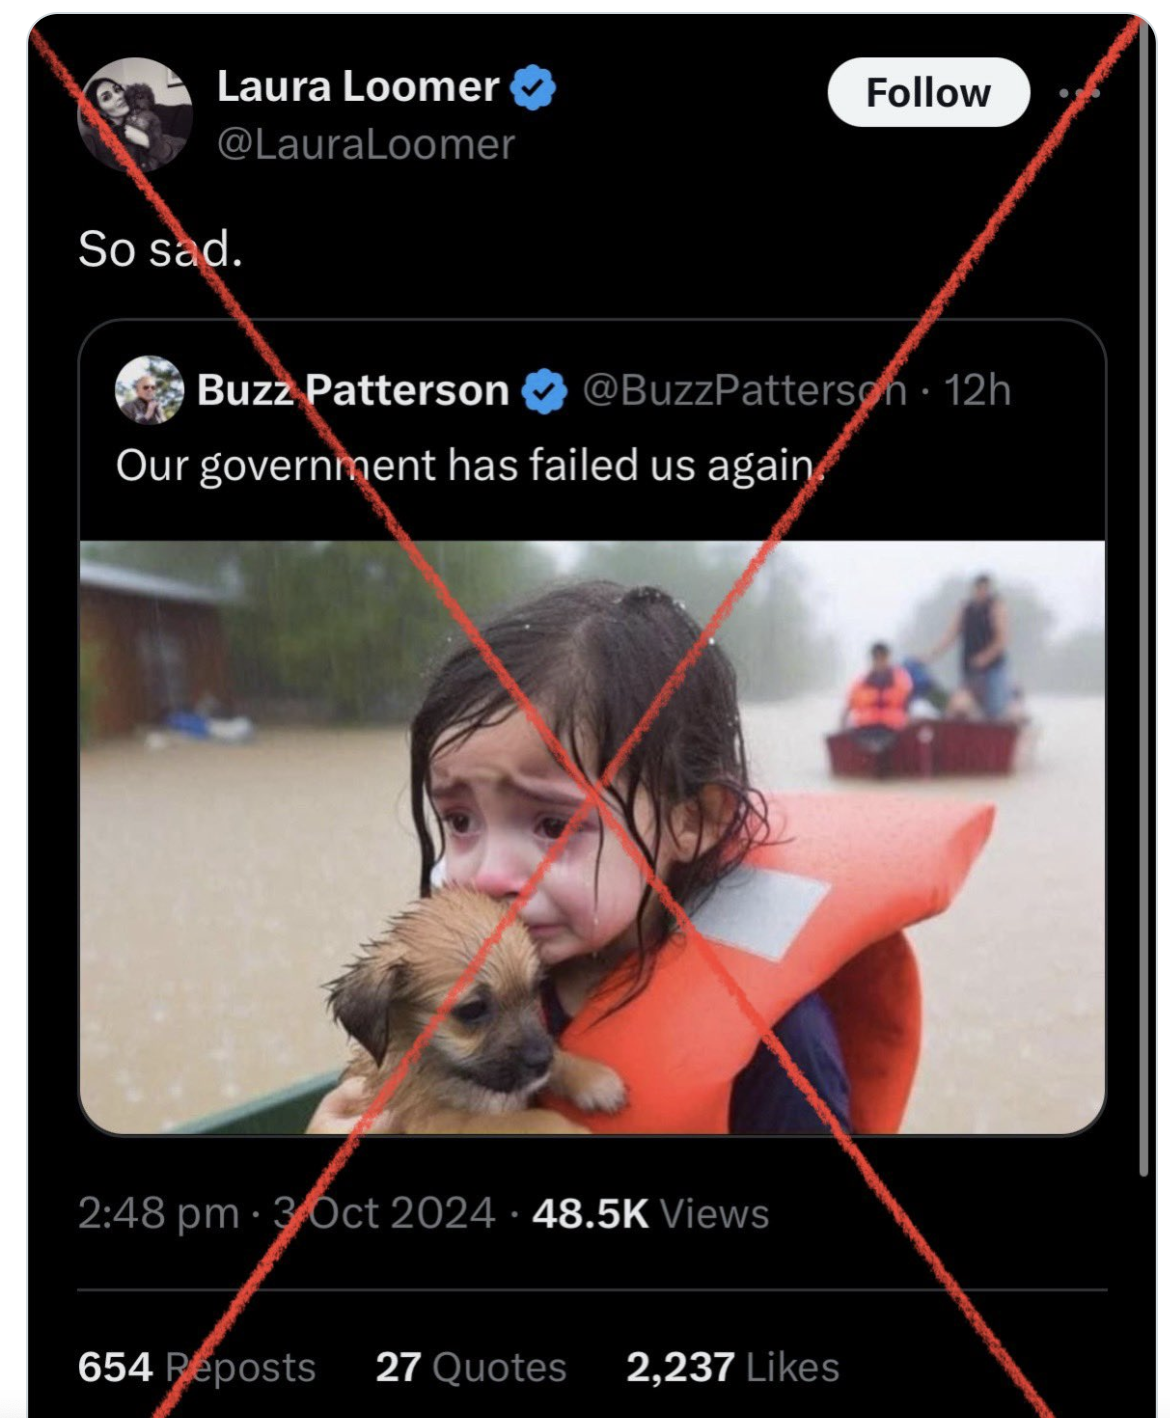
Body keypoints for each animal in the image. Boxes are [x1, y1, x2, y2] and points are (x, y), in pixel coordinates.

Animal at [324, 890, 624, 1134]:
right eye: (473, 1010)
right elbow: (522, 1121)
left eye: (536, 988)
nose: (541, 1061)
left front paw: (593, 1079)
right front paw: (570, 1128)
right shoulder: (441, 1122)